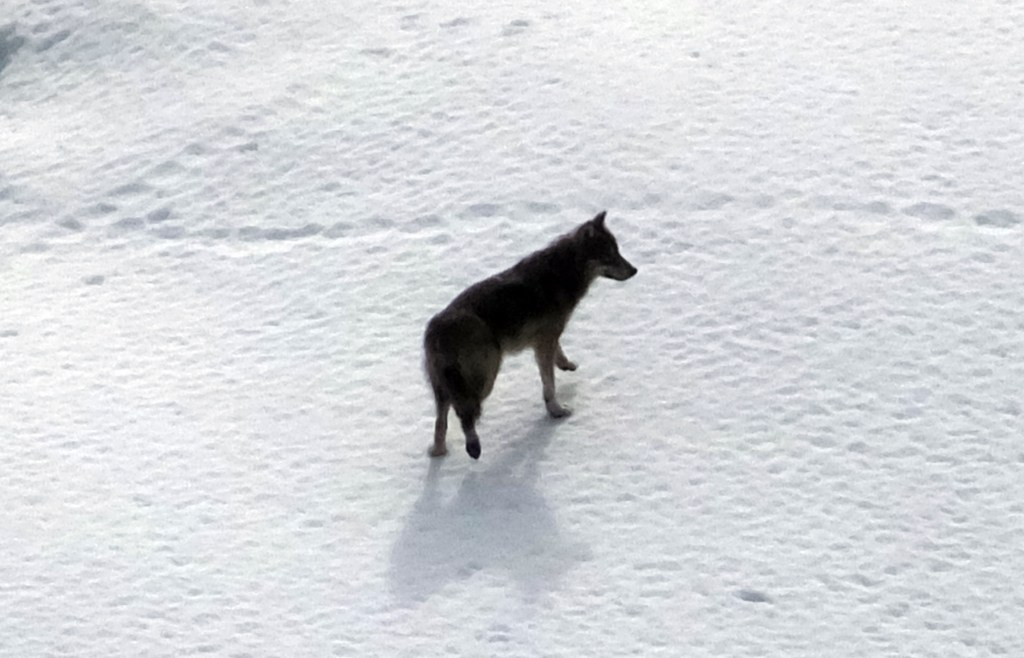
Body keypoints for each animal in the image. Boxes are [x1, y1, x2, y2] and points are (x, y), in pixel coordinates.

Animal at [423, 210, 637, 459]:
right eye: (610, 255)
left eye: (618, 251)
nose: (635, 270)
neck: (563, 272)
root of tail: (436, 329)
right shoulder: (544, 342)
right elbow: (549, 384)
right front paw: (556, 411)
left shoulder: (547, 338)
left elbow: (558, 354)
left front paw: (566, 365)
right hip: (486, 377)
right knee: (463, 413)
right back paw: (472, 446)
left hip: (445, 387)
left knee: (441, 420)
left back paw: (439, 452)